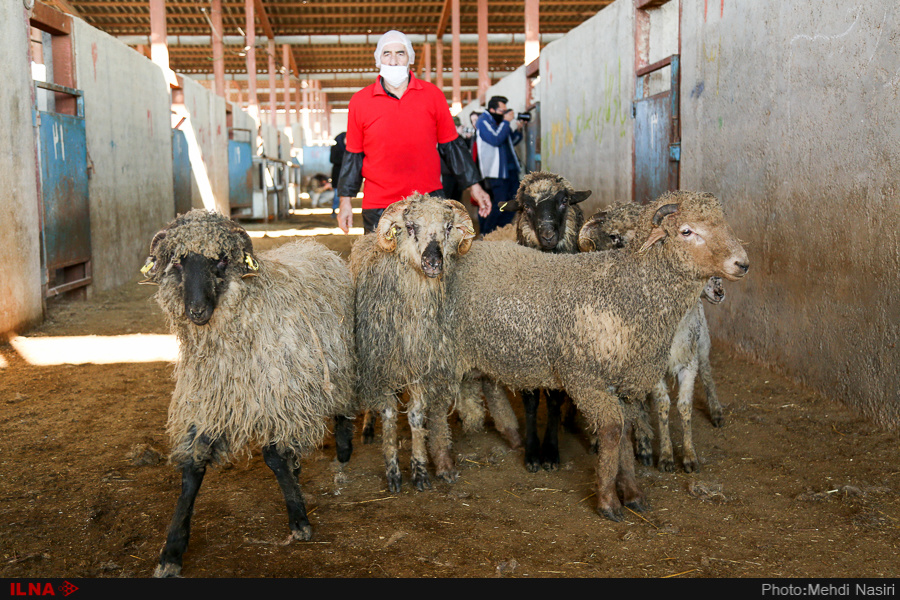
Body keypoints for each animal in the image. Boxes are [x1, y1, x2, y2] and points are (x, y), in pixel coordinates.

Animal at [139, 210, 356, 576]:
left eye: (222, 259)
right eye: (179, 261)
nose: (196, 311)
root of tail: (314, 246)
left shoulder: (273, 397)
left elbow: (273, 457)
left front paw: (299, 520)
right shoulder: (210, 400)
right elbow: (193, 468)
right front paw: (172, 550)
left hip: (337, 363)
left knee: (343, 405)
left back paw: (343, 449)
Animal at [352, 195, 520, 490]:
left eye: (448, 226)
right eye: (409, 226)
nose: (433, 262)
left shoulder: (423, 367)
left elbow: (417, 416)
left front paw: (420, 471)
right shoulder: (383, 365)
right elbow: (388, 414)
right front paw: (393, 473)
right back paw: (368, 429)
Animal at [576, 204, 732, 472]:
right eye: (613, 237)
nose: (718, 291)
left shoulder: (688, 362)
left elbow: (684, 406)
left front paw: (688, 456)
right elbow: (661, 405)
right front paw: (664, 455)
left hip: (702, 342)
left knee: (708, 373)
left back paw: (716, 412)